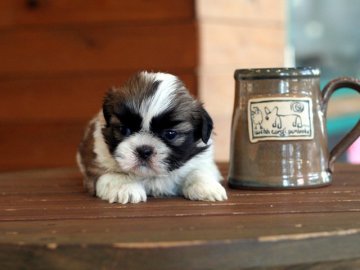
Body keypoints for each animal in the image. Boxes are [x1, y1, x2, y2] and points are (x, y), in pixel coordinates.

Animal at [77, 70, 226, 204]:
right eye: (124, 130)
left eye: (170, 134)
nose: (144, 151)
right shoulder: (96, 164)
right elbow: (114, 174)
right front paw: (125, 187)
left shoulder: (202, 160)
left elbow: (199, 171)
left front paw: (207, 187)